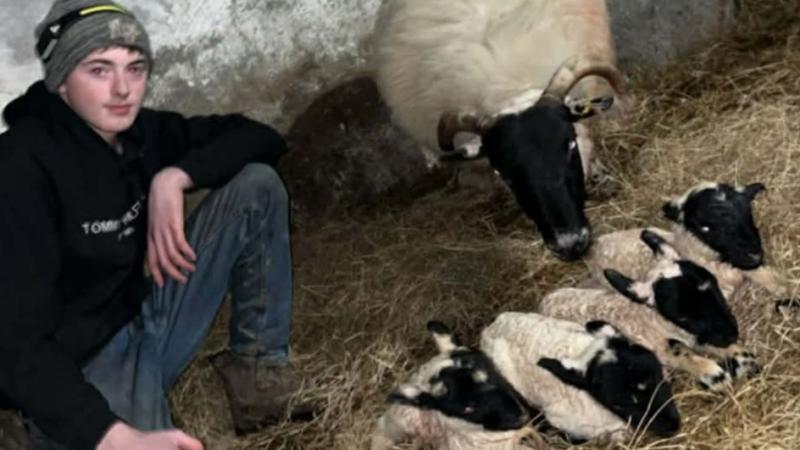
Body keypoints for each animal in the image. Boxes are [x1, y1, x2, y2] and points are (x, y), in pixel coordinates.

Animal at [543, 230, 759, 385]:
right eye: (681, 316)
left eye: (713, 285)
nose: (732, 334)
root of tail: (546, 299)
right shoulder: (664, 347)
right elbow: (682, 354)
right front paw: (714, 374)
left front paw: (744, 359)